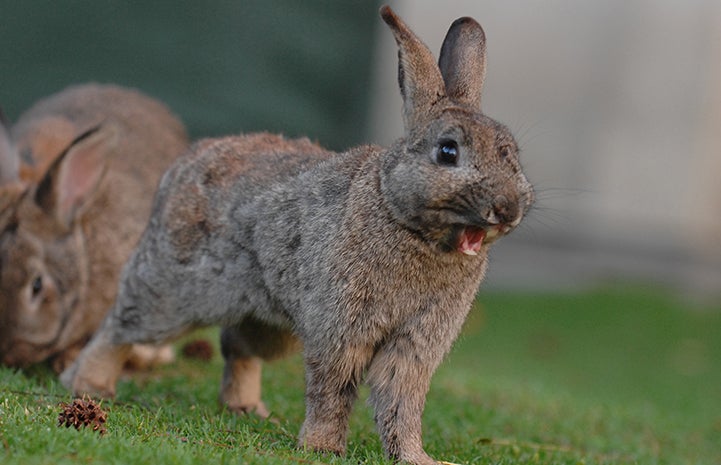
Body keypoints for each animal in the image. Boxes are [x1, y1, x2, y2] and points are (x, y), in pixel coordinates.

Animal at [63, 7, 536, 464]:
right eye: (447, 151)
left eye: (511, 154)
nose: (508, 208)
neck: (400, 214)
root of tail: (184, 163)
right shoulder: (341, 327)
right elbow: (334, 388)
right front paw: (323, 448)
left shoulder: (416, 342)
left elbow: (401, 401)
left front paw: (416, 458)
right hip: (170, 292)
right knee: (121, 328)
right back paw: (87, 385)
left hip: (271, 326)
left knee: (237, 345)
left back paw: (247, 408)